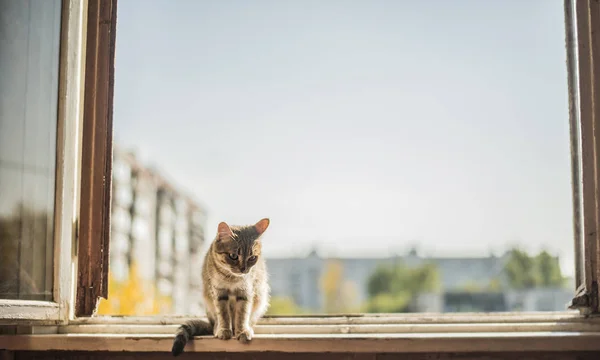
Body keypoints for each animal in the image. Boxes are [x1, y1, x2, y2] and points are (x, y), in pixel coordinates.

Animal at [170, 218, 270, 356]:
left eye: (252, 258)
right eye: (233, 256)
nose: (244, 269)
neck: (232, 278)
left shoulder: (245, 292)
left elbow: (242, 314)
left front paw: (242, 331)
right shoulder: (219, 292)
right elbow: (223, 314)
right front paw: (224, 330)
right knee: (215, 321)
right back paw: (217, 328)